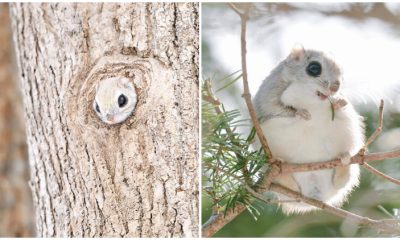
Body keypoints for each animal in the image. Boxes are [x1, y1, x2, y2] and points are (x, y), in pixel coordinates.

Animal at [253, 45, 366, 214]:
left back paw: (344, 160)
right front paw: (300, 113)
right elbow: (275, 106)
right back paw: (281, 166)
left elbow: (339, 105)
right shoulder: (270, 93)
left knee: (341, 182)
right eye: (314, 68)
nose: (335, 87)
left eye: (342, 75)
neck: (313, 103)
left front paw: (339, 102)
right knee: (288, 185)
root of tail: (313, 195)